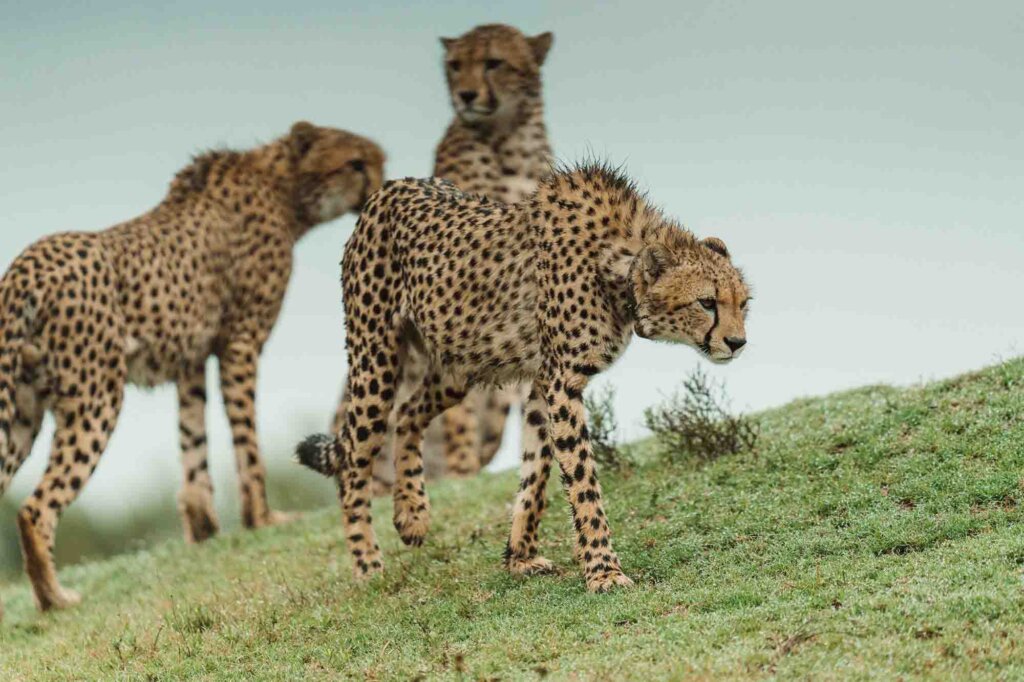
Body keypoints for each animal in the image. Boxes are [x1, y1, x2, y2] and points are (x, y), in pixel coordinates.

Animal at [0, 121, 385, 619]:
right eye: (356, 163)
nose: (379, 186)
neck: (282, 188)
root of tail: (24, 267)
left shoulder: (191, 360)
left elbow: (193, 443)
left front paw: (204, 529)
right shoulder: (240, 343)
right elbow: (247, 445)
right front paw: (263, 519)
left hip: (22, 413)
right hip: (95, 397)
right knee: (35, 509)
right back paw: (55, 599)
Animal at [297, 162, 751, 592]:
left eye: (743, 303)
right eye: (707, 302)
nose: (738, 342)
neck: (619, 266)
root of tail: (391, 187)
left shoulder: (542, 381)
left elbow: (536, 470)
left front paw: (520, 556)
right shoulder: (562, 382)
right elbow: (582, 479)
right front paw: (603, 571)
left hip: (460, 362)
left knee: (408, 413)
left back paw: (412, 514)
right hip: (375, 358)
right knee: (353, 459)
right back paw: (367, 564)